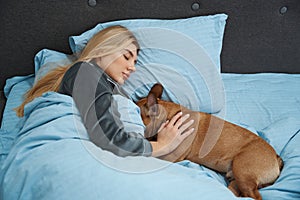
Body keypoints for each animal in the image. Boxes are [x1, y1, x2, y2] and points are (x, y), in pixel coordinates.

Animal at [137, 83, 284, 200]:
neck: (168, 116)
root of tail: (276, 158)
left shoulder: (170, 157)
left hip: (243, 170)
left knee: (255, 196)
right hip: (238, 178)